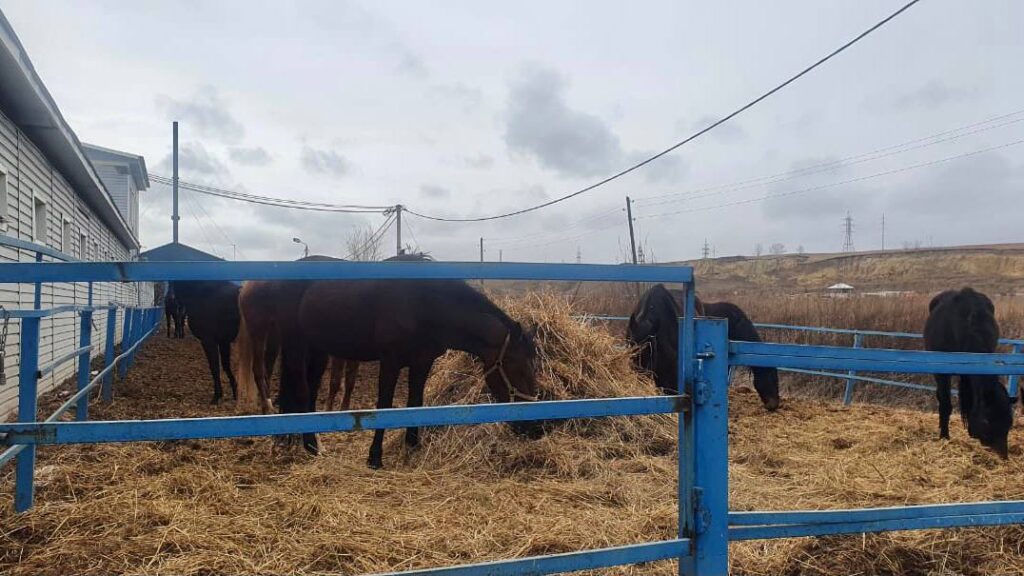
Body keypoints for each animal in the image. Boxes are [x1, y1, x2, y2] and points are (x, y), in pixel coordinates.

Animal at [239, 262, 544, 469]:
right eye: (516, 366)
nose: (536, 428)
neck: (423, 302)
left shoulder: (422, 363)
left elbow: (415, 403)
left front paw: (413, 446)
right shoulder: (390, 362)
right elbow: (384, 405)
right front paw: (375, 457)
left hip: (316, 349)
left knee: (308, 388)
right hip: (295, 343)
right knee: (300, 387)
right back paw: (311, 445)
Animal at [925, 286, 1011, 457]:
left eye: (1009, 423)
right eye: (987, 420)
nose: (1003, 454)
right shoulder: (942, 373)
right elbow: (945, 405)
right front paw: (944, 437)